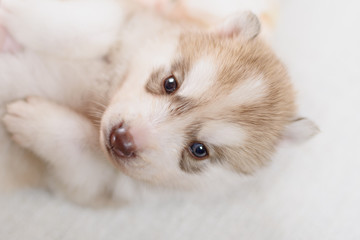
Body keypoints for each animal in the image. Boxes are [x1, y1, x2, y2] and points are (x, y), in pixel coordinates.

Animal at [0, 0, 316, 205]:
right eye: (170, 83)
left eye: (199, 150)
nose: (121, 139)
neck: (105, 87)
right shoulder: (130, 21)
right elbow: (99, 28)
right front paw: (13, 12)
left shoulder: (90, 183)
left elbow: (82, 143)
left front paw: (32, 120)